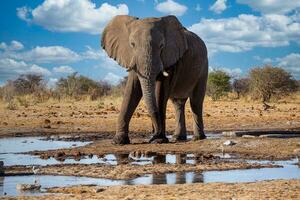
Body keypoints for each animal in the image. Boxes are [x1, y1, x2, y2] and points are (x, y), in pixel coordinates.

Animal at [102, 14, 207, 145]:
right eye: (132, 44)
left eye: (162, 46)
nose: (152, 136)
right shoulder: (133, 57)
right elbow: (131, 91)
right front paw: (118, 141)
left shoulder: (170, 58)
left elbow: (160, 93)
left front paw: (159, 140)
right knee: (178, 103)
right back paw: (177, 138)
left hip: (203, 68)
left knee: (196, 102)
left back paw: (198, 138)